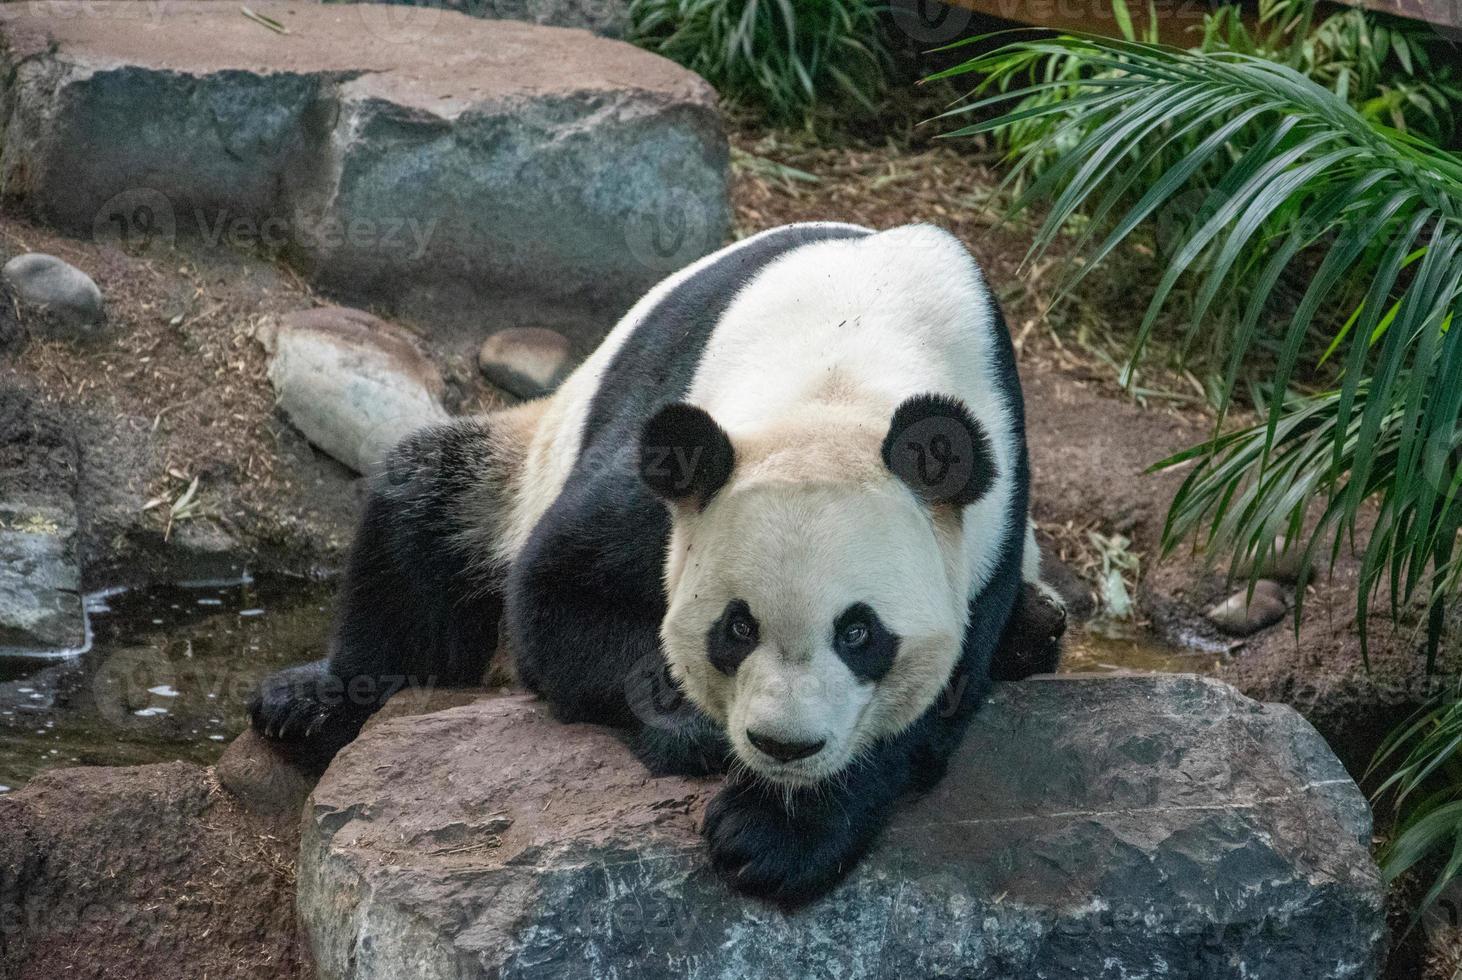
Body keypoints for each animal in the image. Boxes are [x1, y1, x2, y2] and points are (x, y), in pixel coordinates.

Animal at [251, 220, 1064, 906]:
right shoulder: (673, 454)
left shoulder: (989, 520)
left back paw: (1035, 628)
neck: (848, 366)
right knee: (423, 509)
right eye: (735, 628)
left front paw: (774, 835)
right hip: (519, 466)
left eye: (860, 634)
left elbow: (935, 701)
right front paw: (698, 735)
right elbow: (556, 599)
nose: (782, 746)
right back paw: (310, 702)